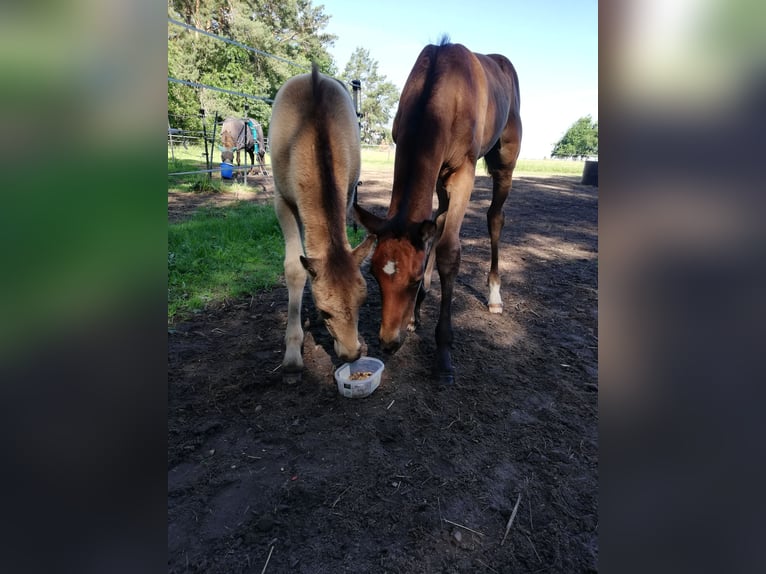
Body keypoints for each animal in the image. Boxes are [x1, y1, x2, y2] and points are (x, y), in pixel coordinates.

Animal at [272, 65, 376, 384]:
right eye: (325, 311)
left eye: (363, 302)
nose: (352, 353)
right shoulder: (282, 200)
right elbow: (294, 268)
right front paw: (292, 356)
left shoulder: (348, 193)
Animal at [354, 41, 520, 388]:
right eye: (374, 275)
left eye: (414, 279)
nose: (388, 342)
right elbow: (432, 231)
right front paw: (416, 314)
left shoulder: (463, 172)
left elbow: (448, 251)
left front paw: (443, 355)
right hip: (442, 179)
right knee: (440, 220)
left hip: (505, 161)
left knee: (495, 217)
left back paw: (495, 296)